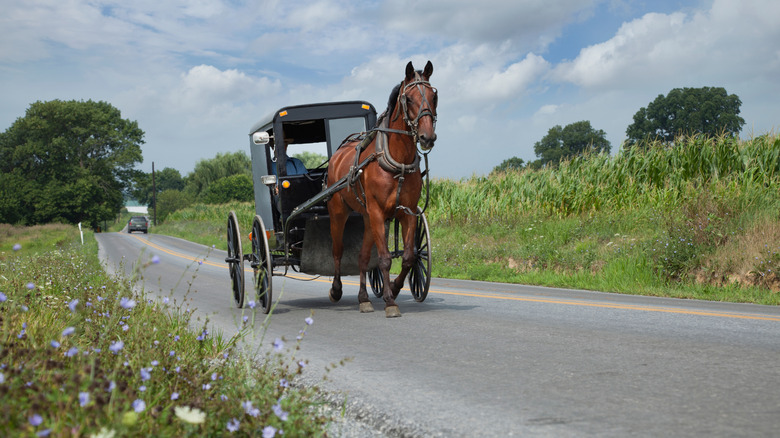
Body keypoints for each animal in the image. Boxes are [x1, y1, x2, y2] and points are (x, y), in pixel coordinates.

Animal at [326, 60, 438, 318]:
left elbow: (408, 257)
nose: (427, 137)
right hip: (339, 212)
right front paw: (389, 301)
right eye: (409, 98)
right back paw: (336, 290)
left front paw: (395, 288)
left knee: (363, 257)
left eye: (433, 96)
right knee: (338, 251)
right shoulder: (377, 212)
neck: (397, 160)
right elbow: (385, 259)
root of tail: (337, 156)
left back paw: (363, 298)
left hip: (367, 219)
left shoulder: (407, 212)